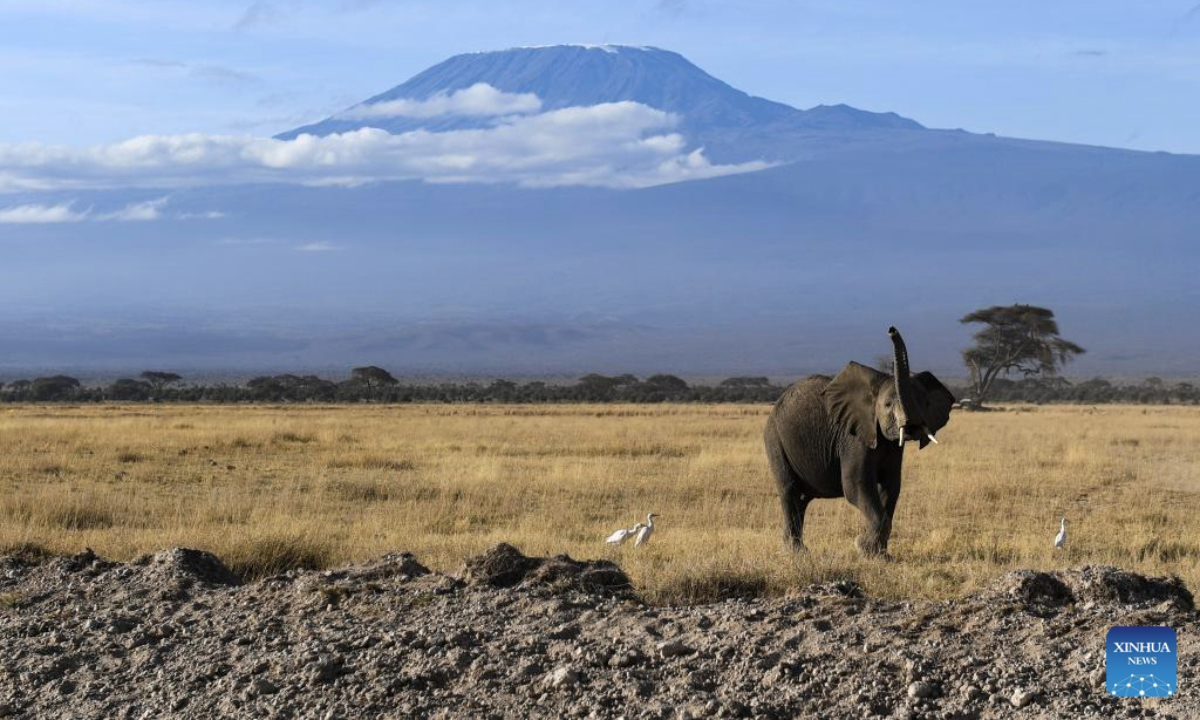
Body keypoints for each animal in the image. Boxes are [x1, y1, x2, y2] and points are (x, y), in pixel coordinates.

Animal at [764, 327, 955, 555]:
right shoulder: (852, 437)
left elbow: (891, 487)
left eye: (925, 403)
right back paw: (795, 553)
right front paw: (864, 548)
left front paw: (880, 554)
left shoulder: (890, 446)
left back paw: (796, 550)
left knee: (801, 500)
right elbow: (856, 485)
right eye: (887, 405)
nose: (891, 329)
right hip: (775, 439)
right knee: (789, 491)